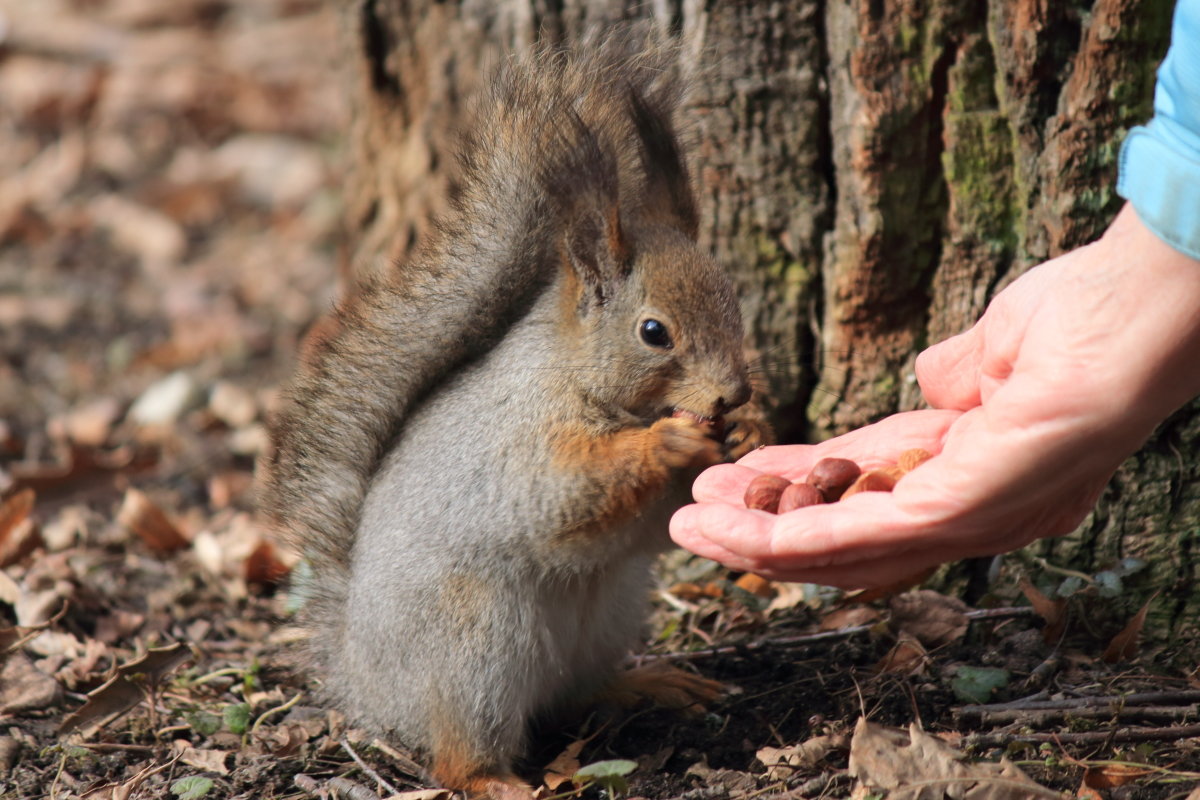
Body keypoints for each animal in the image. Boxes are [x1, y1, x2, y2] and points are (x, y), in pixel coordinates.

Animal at [260, 32, 768, 800]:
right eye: (654, 332)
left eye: (733, 301)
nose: (732, 395)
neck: (577, 376)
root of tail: (367, 683)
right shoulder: (520, 443)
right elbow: (563, 495)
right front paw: (667, 442)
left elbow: (659, 525)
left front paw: (749, 431)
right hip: (477, 646)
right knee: (459, 755)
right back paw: (501, 780)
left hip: (606, 618)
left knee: (574, 695)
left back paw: (648, 685)